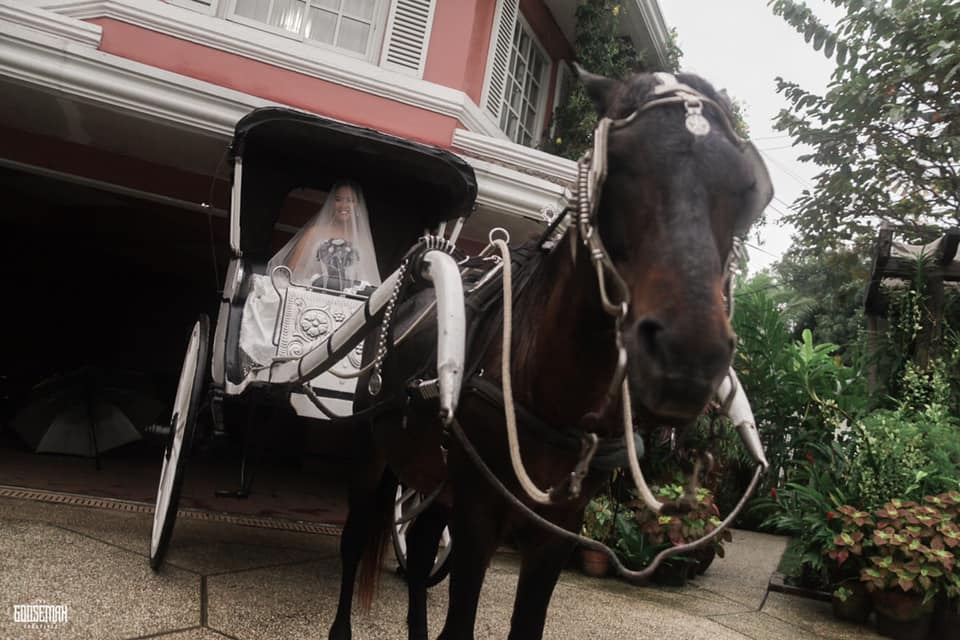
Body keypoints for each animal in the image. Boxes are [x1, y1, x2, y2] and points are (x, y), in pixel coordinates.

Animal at [328, 66, 772, 640]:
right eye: (616, 163)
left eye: (747, 189)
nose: (689, 356)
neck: (552, 391)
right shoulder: (479, 510)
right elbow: (460, 621)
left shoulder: (559, 527)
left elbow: (526, 624)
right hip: (372, 453)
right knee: (355, 540)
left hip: (435, 482)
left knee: (422, 547)